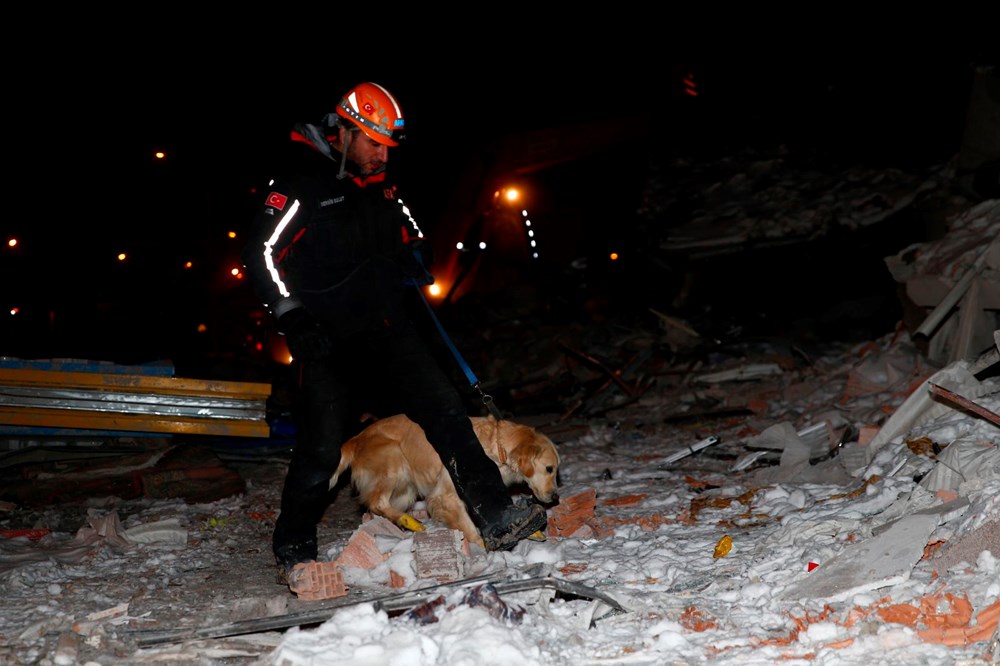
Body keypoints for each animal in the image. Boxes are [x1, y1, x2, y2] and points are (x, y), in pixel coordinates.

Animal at [330, 412, 560, 548]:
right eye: (549, 469)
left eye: (556, 470)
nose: (555, 497)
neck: (496, 445)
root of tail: (355, 440)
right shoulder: (446, 495)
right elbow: (467, 525)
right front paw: (480, 546)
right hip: (394, 458)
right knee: (376, 502)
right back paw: (410, 522)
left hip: (405, 489)